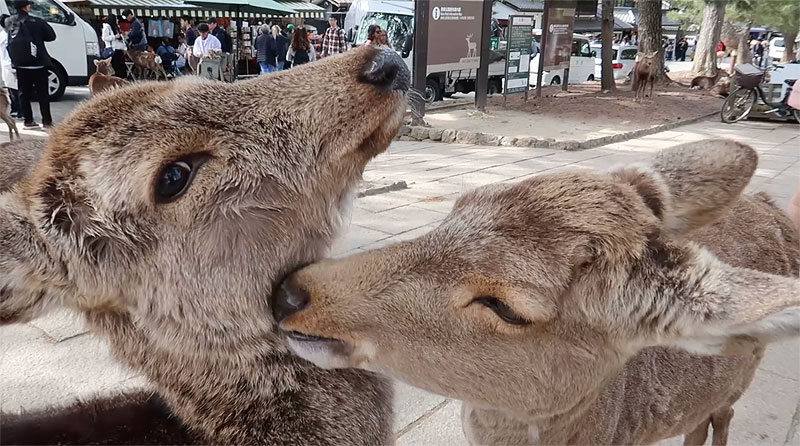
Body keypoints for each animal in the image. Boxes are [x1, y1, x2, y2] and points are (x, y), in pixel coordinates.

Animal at [276, 140, 800, 446]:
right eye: (462, 204)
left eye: (507, 307)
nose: (291, 293)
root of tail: (775, 210)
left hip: (739, 381)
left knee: (719, 415)